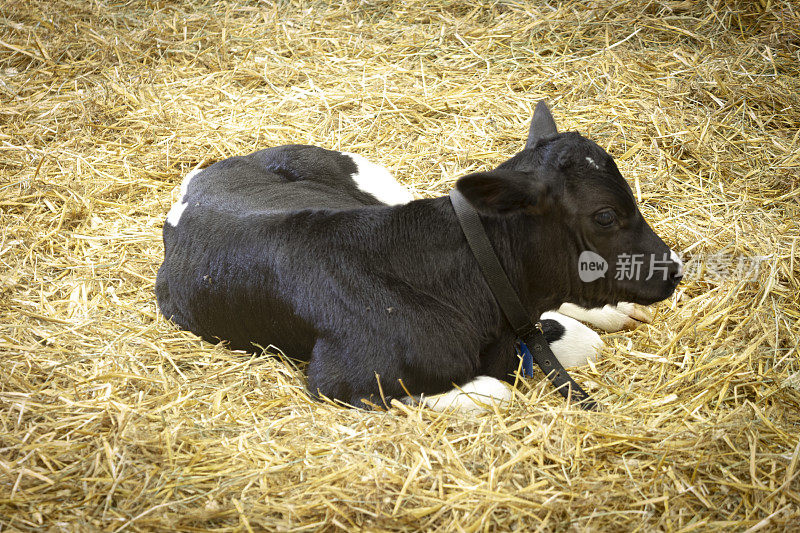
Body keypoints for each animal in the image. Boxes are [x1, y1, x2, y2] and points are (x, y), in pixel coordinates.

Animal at [156, 104, 680, 412]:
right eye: (605, 215)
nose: (672, 269)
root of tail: (208, 174)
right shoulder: (343, 382)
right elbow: (496, 391)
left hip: (382, 185)